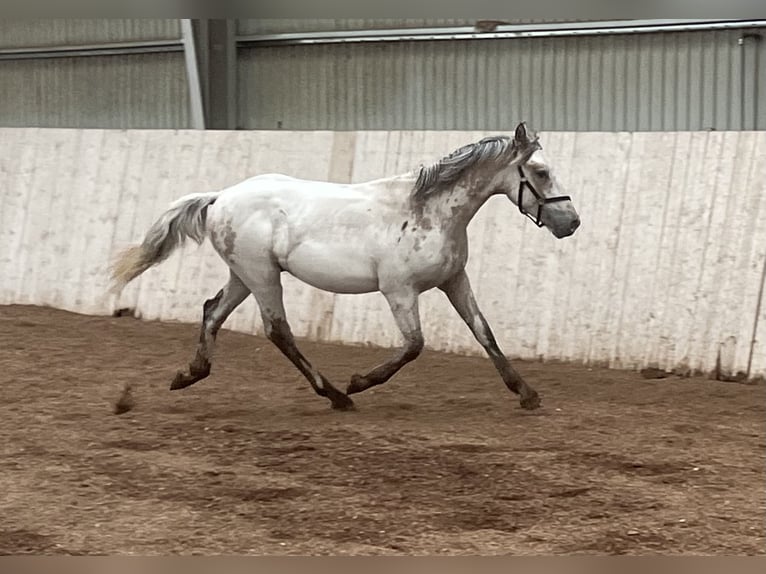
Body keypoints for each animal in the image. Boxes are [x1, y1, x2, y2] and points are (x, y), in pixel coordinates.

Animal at [112, 124, 584, 414]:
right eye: (541, 171)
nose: (572, 223)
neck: (429, 211)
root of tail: (221, 196)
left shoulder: (454, 280)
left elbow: (484, 333)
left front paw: (527, 394)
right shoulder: (399, 290)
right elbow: (414, 345)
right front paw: (360, 381)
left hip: (244, 275)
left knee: (213, 311)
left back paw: (188, 375)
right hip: (261, 275)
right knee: (277, 330)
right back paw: (338, 396)